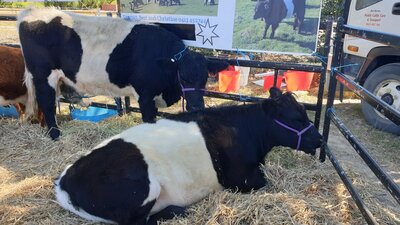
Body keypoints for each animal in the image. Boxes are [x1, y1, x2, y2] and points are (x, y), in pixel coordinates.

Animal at [54, 87, 324, 225]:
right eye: (296, 118)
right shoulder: (241, 180)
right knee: (137, 222)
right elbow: (263, 181)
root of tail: (64, 181)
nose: (320, 139)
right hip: (145, 188)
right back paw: (177, 211)